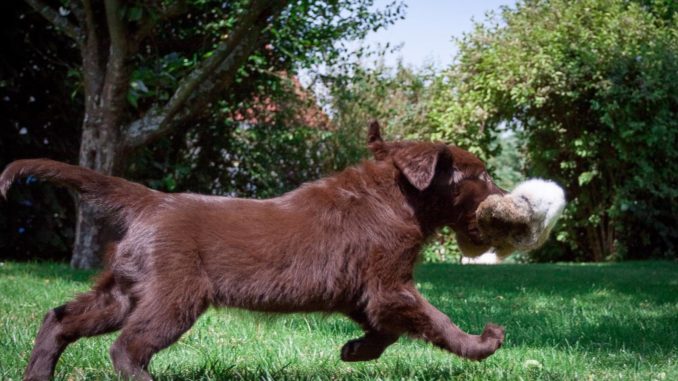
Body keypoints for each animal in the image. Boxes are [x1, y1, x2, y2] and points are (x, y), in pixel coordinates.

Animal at [1, 122, 510, 380]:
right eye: (481, 176)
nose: (504, 194)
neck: (396, 197)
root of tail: (151, 200)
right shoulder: (389, 284)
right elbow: (434, 320)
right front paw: (484, 342)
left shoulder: (362, 291)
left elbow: (386, 330)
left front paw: (353, 351)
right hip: (174, 295)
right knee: (127, 348)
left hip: (125, 289)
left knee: (60, 318)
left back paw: (37, 376)